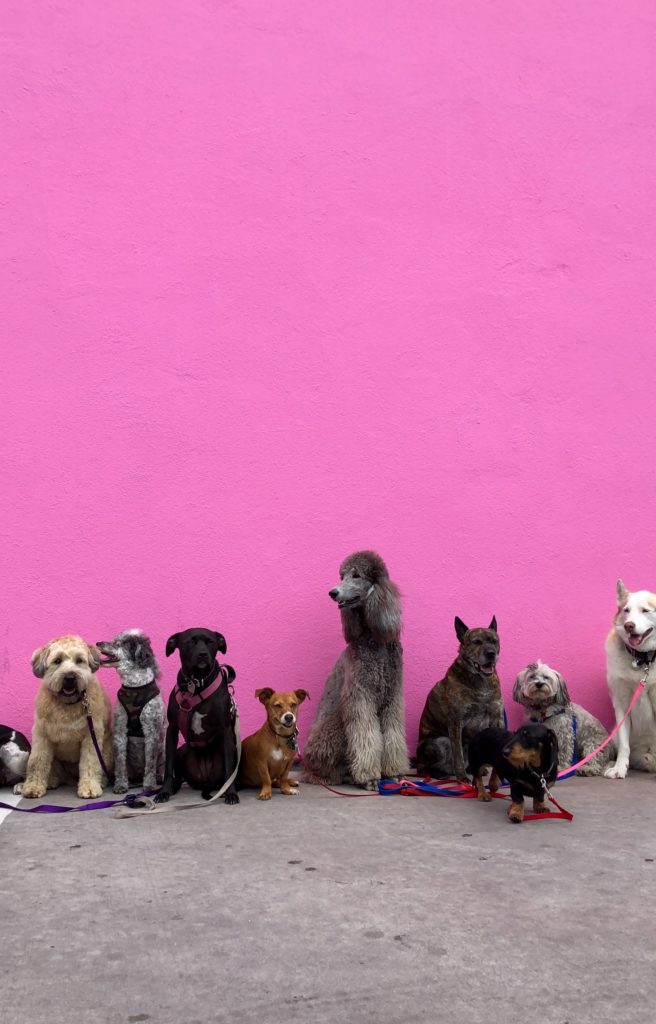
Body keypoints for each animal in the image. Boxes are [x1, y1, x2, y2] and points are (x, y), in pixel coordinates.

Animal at [96, 630, 164, 790]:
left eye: (119, 643)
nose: (98, 643)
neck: (135, 686)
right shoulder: (120, 729)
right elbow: (120, 762)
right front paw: (121, 785)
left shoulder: (152, 730)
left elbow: (150, 763)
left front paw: (149, 785)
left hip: (163, 750)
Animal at [155, 626, 240, 802]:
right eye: (190, 642)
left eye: (210, 642)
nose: (202, 654)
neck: (197, 684)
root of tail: (205, 780)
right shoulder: (172, 729)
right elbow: (168, 768)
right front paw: (164, 791)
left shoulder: (226, 730)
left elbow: (229, 771)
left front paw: (231, 793)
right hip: (181, 750)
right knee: (178, 776)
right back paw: (173, 787)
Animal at [302, 548, 409, 786]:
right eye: (342, 576)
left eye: (357, 575)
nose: (332, 592)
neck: (374, 641)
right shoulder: (360, 697)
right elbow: (366, 734)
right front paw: (369, 776)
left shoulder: (392, 697)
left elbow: (393, 733)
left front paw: (394, 770)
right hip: (334, 726)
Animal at [605, 581, 656, 778]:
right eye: (626, 610)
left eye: (645, 610)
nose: (629, 626)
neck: (643, 660)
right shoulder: (621, 704)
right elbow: (624, 745)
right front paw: (619, 768)